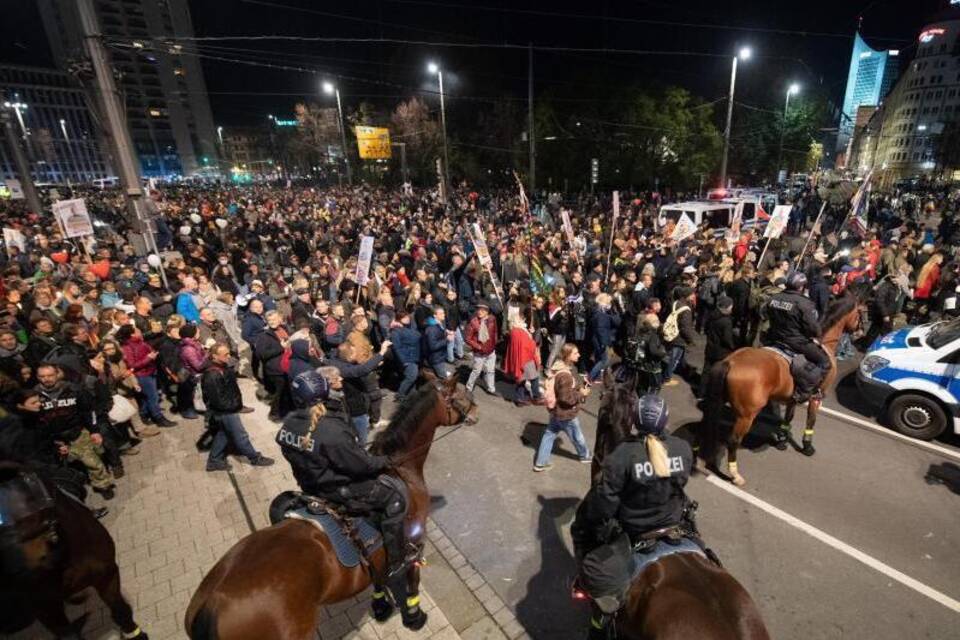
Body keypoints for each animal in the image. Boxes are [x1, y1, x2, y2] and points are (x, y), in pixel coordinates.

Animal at [184, 376, 476, 640]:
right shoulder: (414, 542)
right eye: (461, 396)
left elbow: (378, 577)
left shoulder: (377, 554)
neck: (401, 470)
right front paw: (414, 616)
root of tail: (211, 605)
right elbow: (412, 580)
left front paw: (381, 605)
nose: (476, 411)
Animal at [696, 294, 864, 484]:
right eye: (861, 312)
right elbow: (811, 421)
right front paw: (807, 447)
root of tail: (730, 361)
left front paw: (782, 441)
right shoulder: (816, 398)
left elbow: (788, 418)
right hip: (747, 416)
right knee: (733, 441)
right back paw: (735, 475)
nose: (860, 333)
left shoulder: (792, 398)